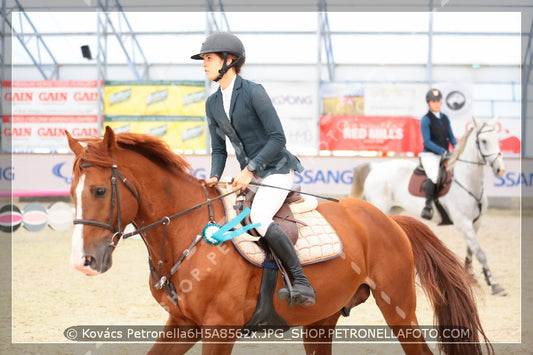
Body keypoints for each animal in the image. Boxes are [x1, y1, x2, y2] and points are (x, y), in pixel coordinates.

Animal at [66, 126, 490, 354]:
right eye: (72, 190)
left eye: (100, 191)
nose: (84, 262)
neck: (186, 234)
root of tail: (389, 219)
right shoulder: (182, 324)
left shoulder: (219, 328)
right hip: (322, 319)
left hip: (400, 310)